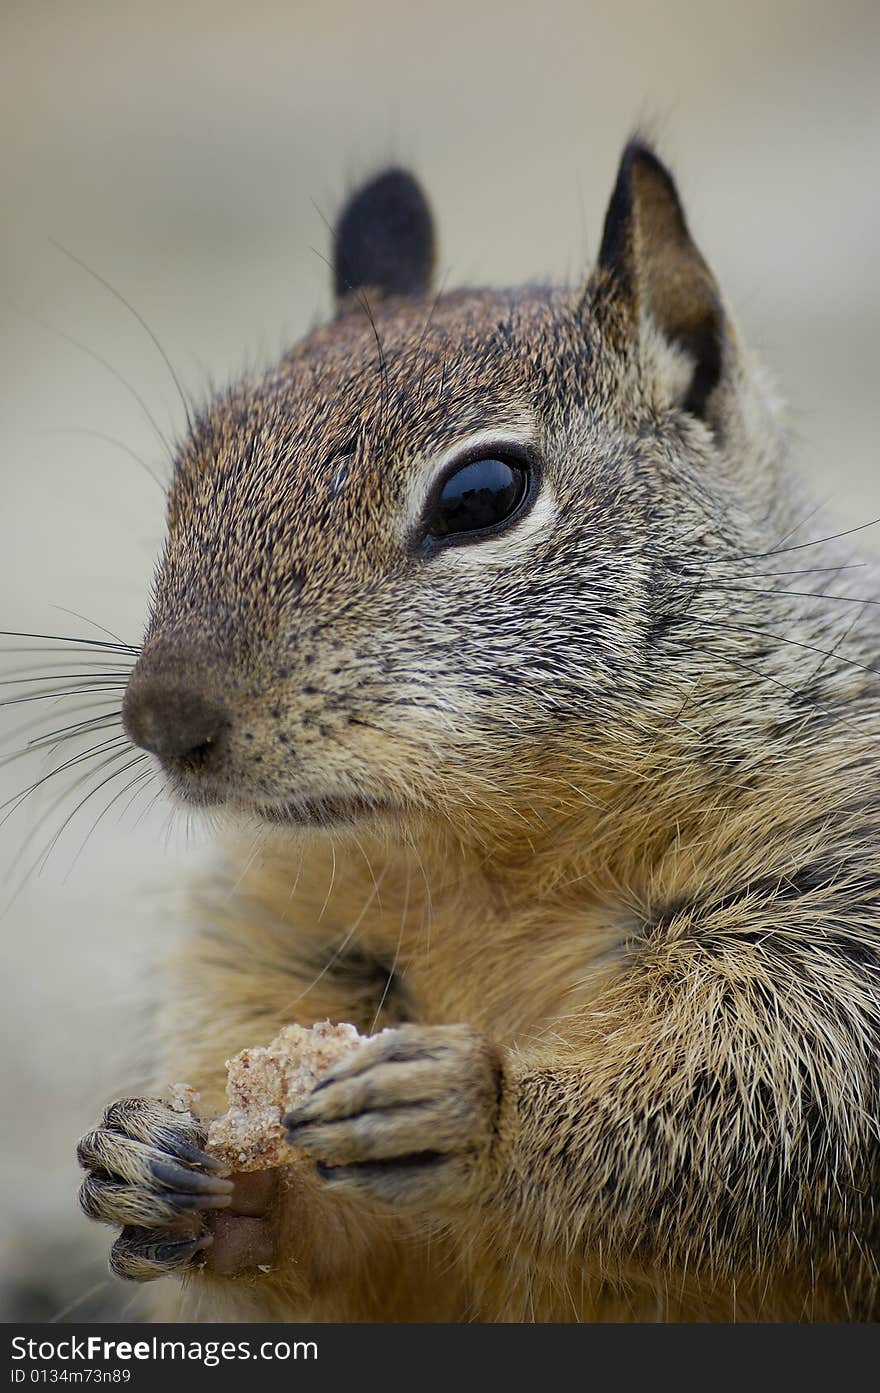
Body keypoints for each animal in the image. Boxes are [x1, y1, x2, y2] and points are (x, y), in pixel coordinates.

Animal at [73, 135, 880, 1320]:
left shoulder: (832, 908)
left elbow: (773, 1091)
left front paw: (474, 1110)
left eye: (483, 494)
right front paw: (175, 1171)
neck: (487, 867)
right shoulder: (266, 935)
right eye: (192, 469)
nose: (163, 720)